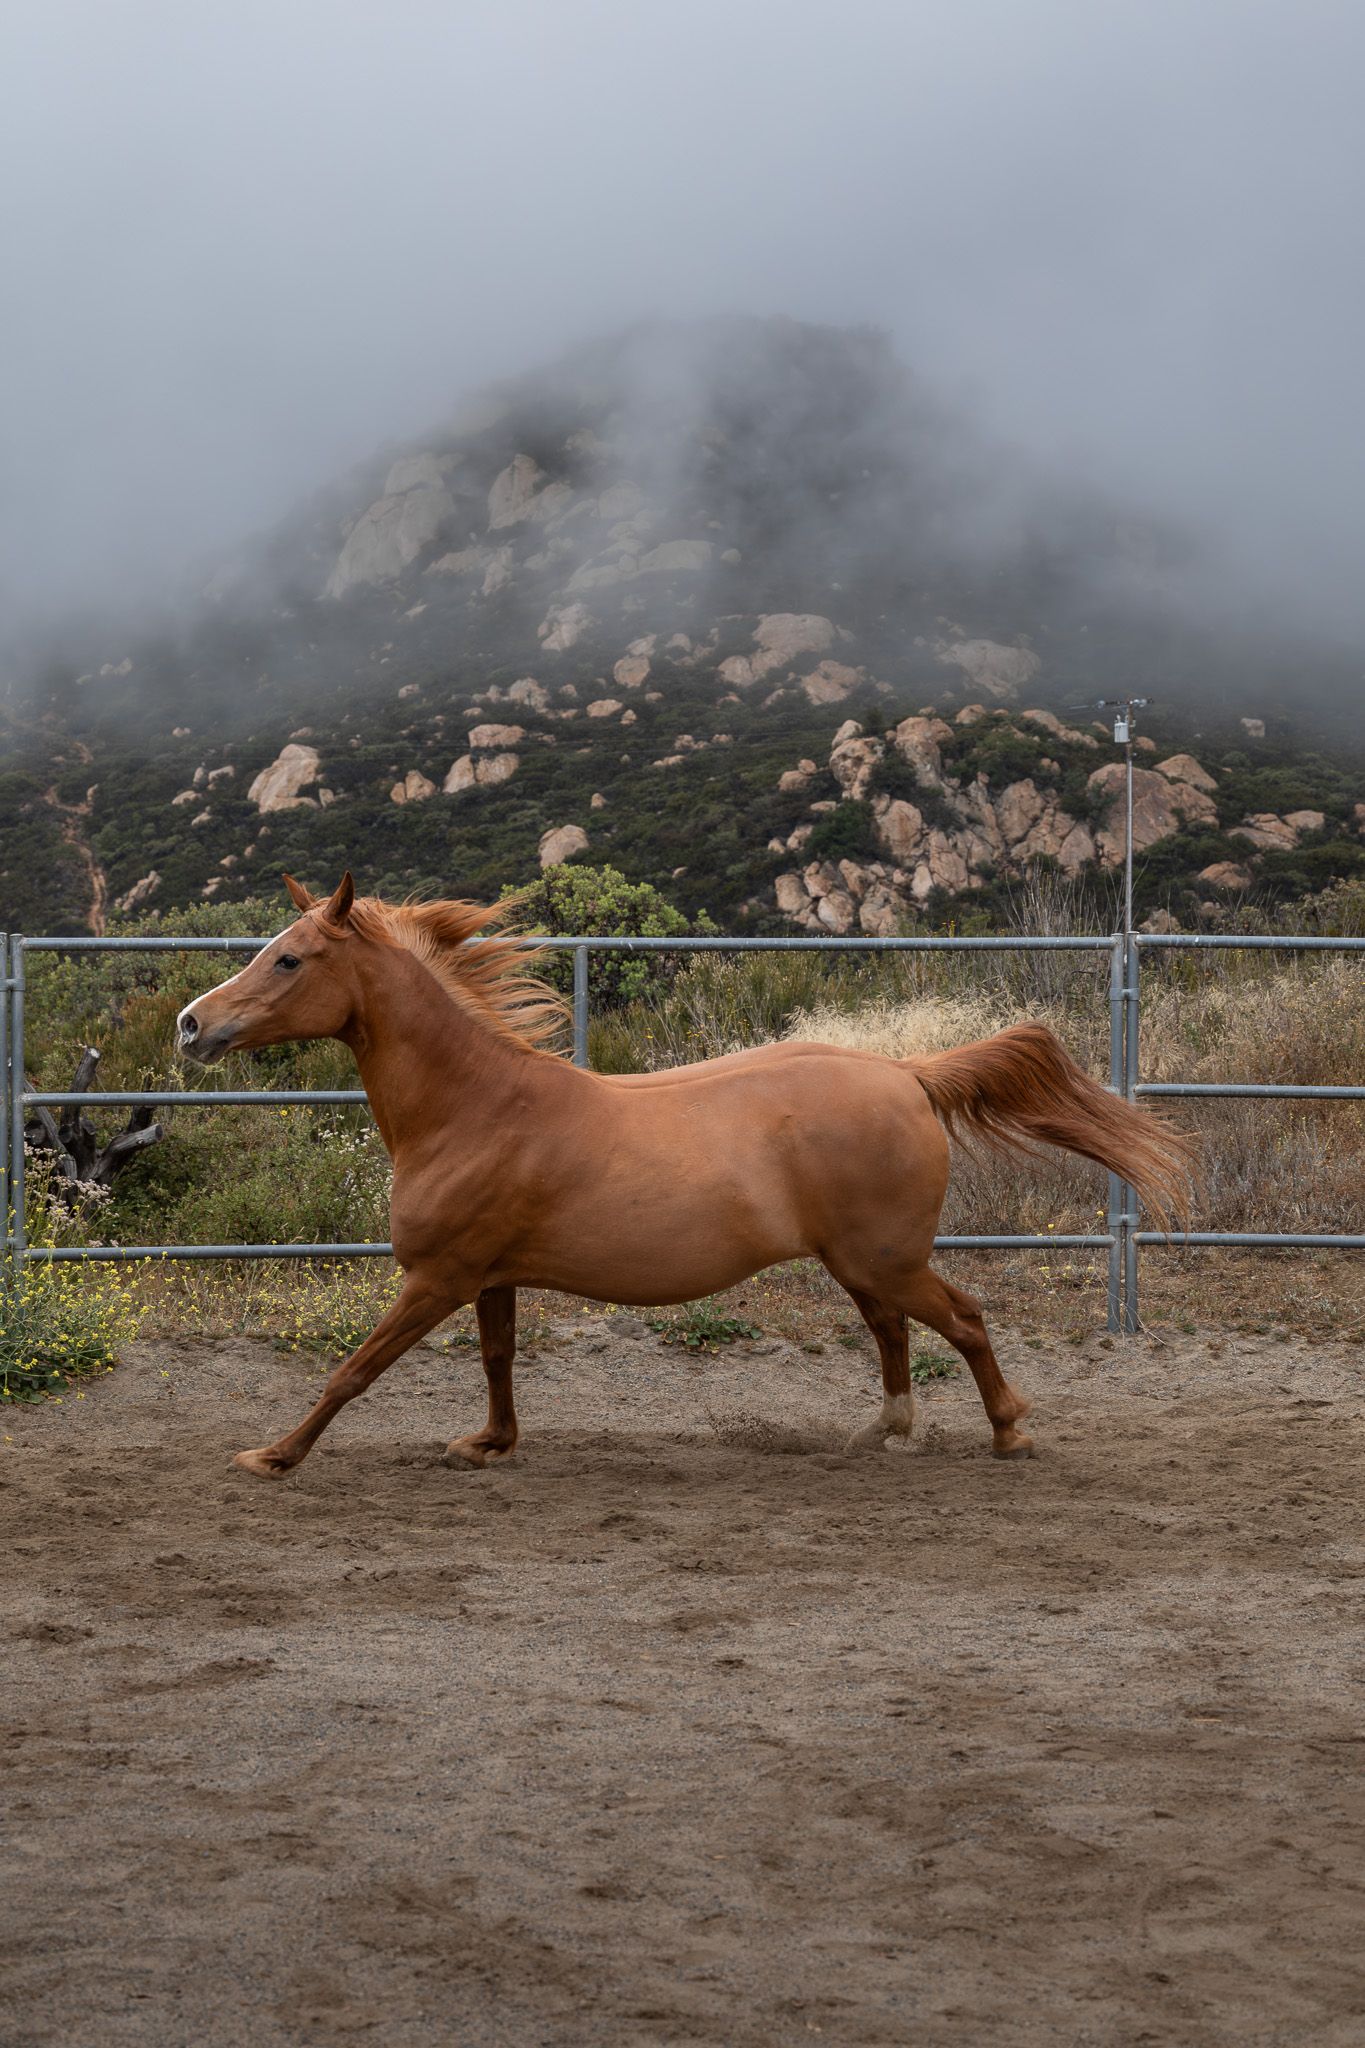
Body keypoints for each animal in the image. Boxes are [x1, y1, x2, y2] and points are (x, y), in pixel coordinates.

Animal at [176, 872, 1191, 1479]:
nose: (191, 1025)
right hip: (859, 1262)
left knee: (963, 1320)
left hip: (885, 1257)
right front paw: (490, 1442)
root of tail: (908, 1074)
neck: (475, 1108)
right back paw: (880, 1432)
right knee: (893, 1331)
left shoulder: (436, 1278)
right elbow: (497, 1361)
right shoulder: (490, 1277)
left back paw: (1009, 1431)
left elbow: (354, 1370)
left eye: (288, 958)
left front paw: (273, 1455)